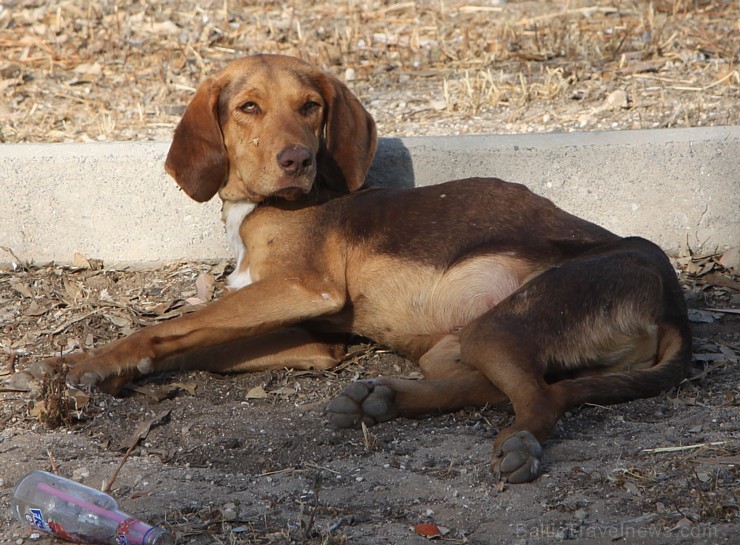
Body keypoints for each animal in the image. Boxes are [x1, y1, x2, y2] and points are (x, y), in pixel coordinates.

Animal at [60, 54, 692, 480]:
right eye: (248, 108)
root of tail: (675, 305)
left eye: (310, 107)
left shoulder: (304, 288)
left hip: (506, 321)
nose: (297, 160)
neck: (261, 209)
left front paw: (92, 362)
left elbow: (170, 325)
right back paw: (381, 400)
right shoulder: (313, 337)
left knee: (542, 398)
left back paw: (515, 444)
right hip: (454, 344)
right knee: (494, 388)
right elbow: (195, 343)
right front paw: (101, 372)